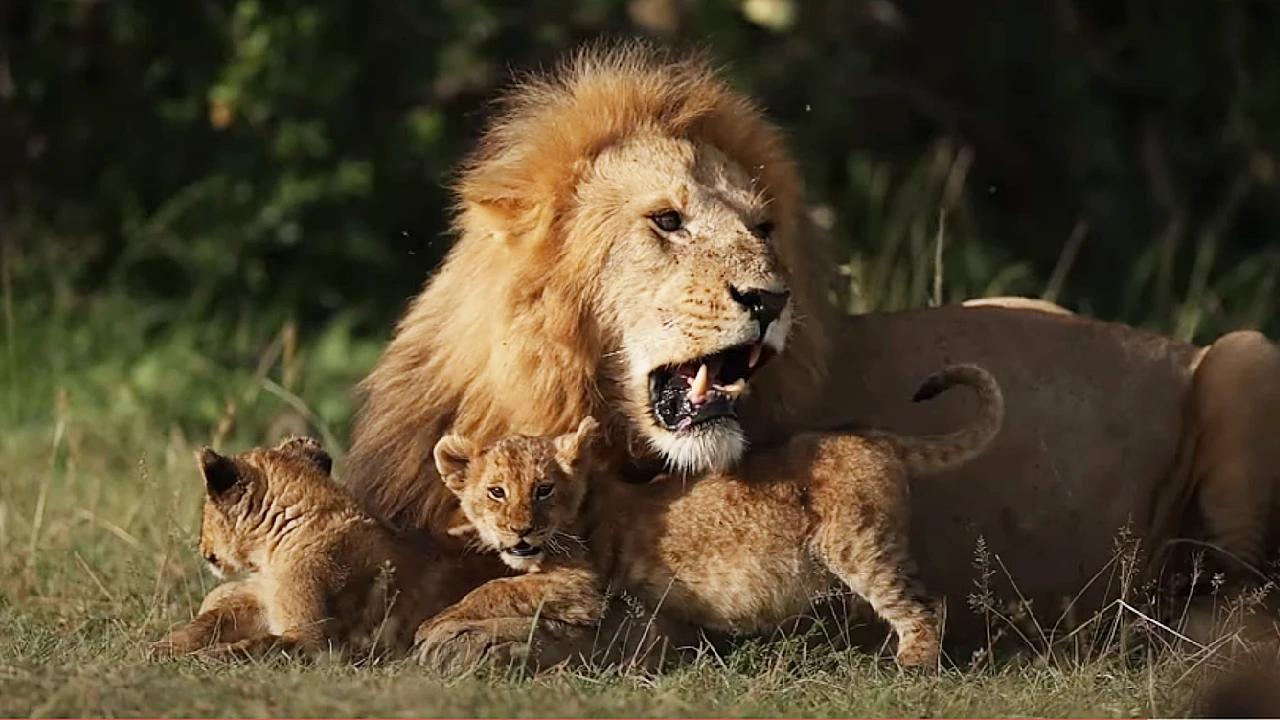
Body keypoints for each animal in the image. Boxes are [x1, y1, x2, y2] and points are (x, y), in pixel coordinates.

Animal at [424, 361, 1003, 671]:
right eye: (496, 492)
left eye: (543, 490)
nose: (520, 530)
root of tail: (878, 436)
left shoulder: (581, 586)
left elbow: (495, 589)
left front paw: (435, 624)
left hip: (859, 546)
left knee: (926, 604)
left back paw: (909, 668)